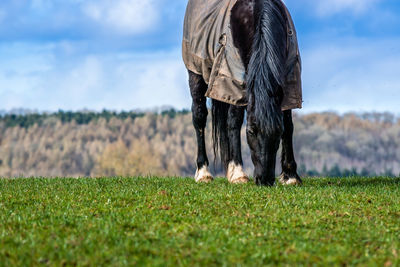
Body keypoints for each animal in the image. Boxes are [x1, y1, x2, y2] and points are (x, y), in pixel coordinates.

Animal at [183, 0, 302, 186]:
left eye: (277, 131)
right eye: (251, 131)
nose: (264, 180)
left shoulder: (290, 82)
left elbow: (289, 125)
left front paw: (291, 176)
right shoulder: (233, 78)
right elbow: (234, 122)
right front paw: (238, 174)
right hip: (196, 71)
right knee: (199, 117)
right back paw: (203, 173)